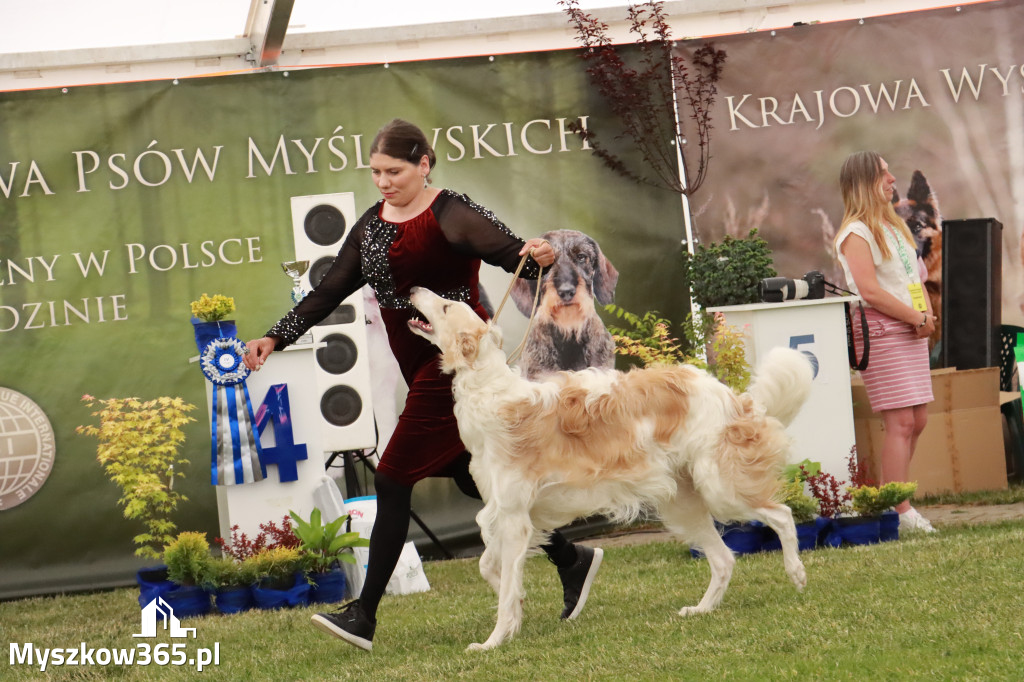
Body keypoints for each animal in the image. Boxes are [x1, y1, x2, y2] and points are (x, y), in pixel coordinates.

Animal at [403, 282, 811, 647]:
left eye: (445, 306)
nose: (411, 290)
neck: (491, 390)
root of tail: (728, 395)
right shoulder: (506, 513)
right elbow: (491, 569)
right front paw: (518, 609)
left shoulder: (515, 517)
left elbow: (502, 591)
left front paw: (493, 641)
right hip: (682, 503)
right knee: (725, 559)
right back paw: (701, 609)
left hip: (720, 488)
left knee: (782, 514)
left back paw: (796, 572)